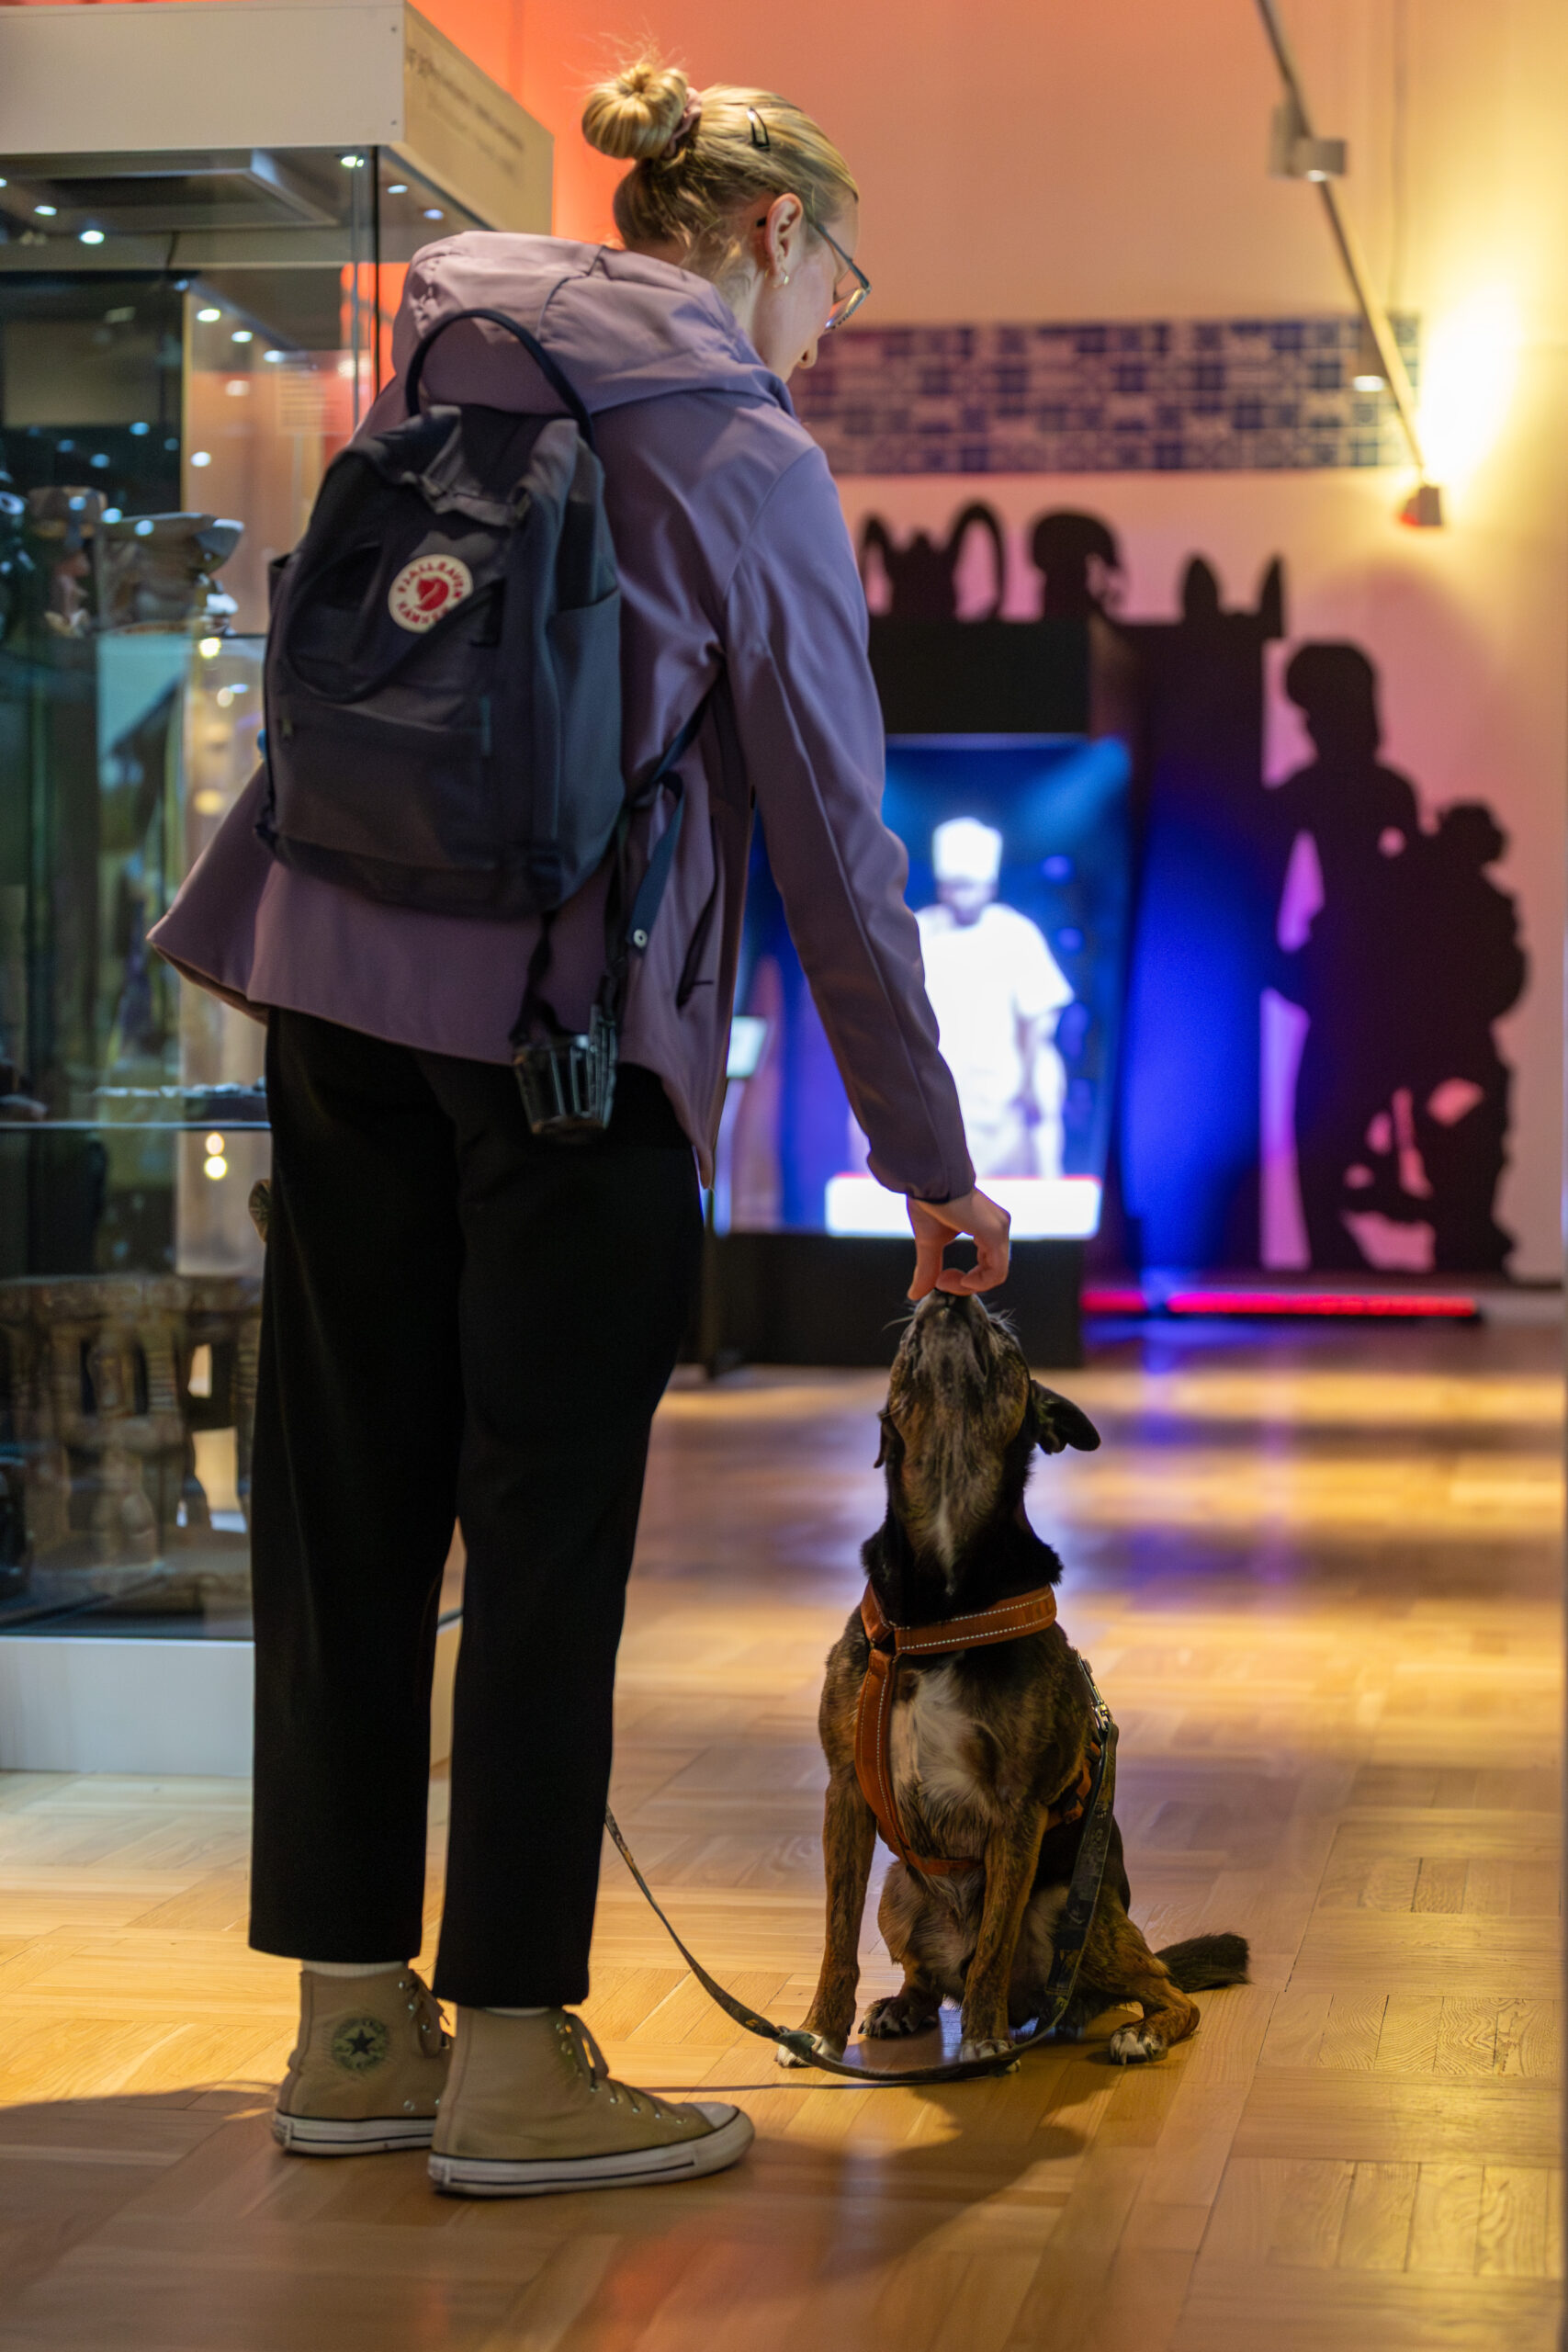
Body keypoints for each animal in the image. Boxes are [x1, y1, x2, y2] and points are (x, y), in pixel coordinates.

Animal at [784, 1290, 1248, 2069]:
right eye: (906, 1339)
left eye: (1005, 1341)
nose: (950, 1290)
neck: (941, 1602)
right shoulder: (845, 1791)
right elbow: (834, 1935)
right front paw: (819, 2028)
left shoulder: (1015, 1811)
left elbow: (995, 1945)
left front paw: (981, 2040)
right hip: (898, 1893)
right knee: (924, 1975)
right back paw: (900, 2007)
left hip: (1072, 1914)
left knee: (1160, 1988)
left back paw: (1139, 2029)